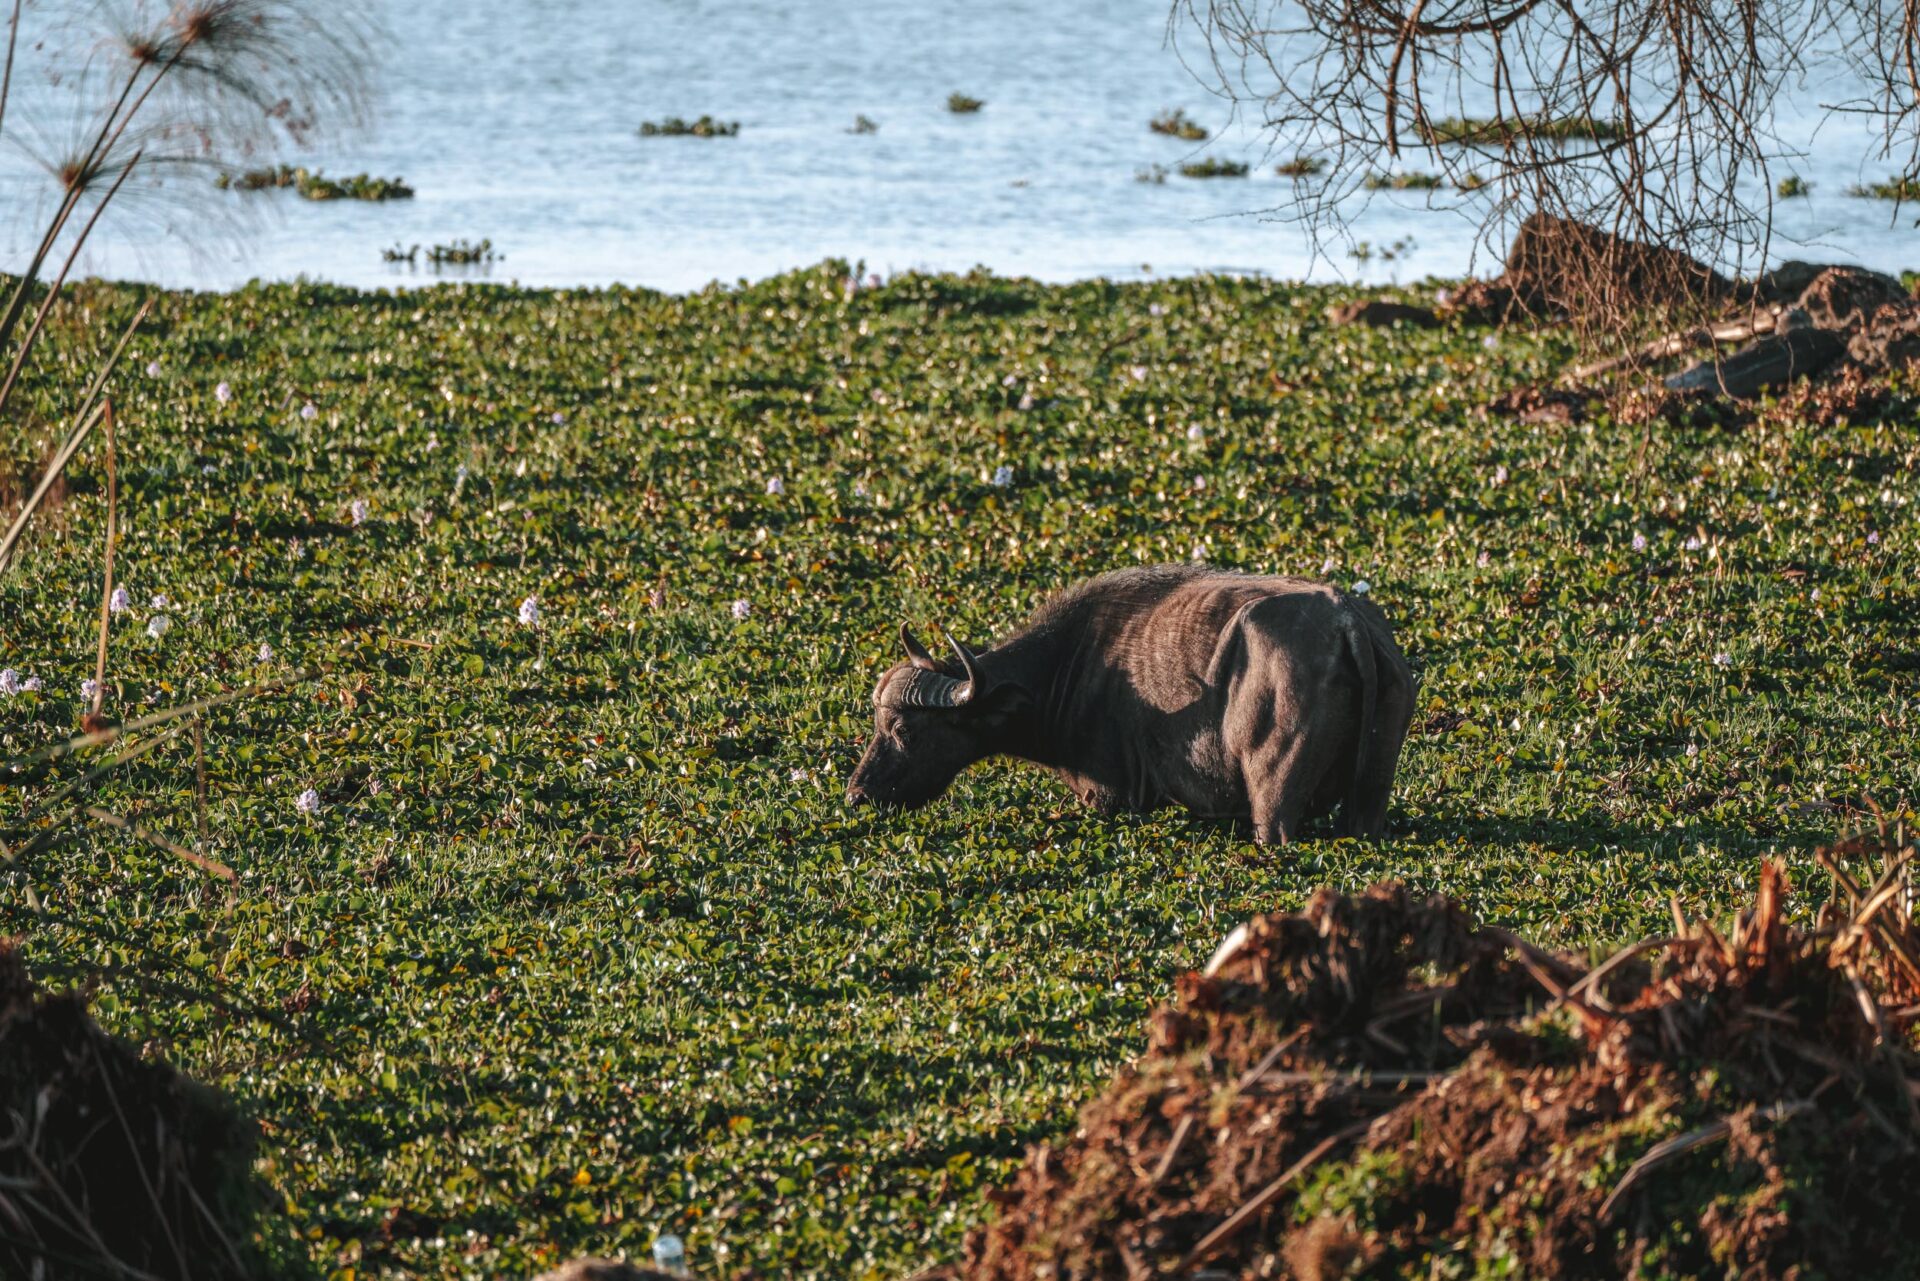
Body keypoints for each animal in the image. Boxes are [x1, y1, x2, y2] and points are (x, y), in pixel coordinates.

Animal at [848, 564, 1420, 845]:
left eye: (906, 730)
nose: (857, 794)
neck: (1071, 666)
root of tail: (1350, 624)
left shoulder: (1110, 797)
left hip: (1272, 806)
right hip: (1367, 803)